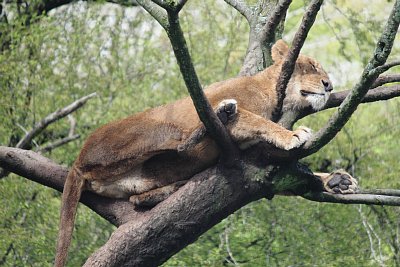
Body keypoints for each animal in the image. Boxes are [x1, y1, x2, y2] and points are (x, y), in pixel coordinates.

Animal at [54, 40, 358, 267]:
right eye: (311, 67)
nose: (329, 86)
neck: (274, 93)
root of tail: (77, 162)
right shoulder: (218, 105)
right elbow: (256, 120)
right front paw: (292, 135)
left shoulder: (259, 160)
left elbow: (286, 176)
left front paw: (336, 180)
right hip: (160, 128)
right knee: (183, 143)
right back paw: (222, 115)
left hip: (137, 178)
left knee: (137, 198)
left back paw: (175, 186)